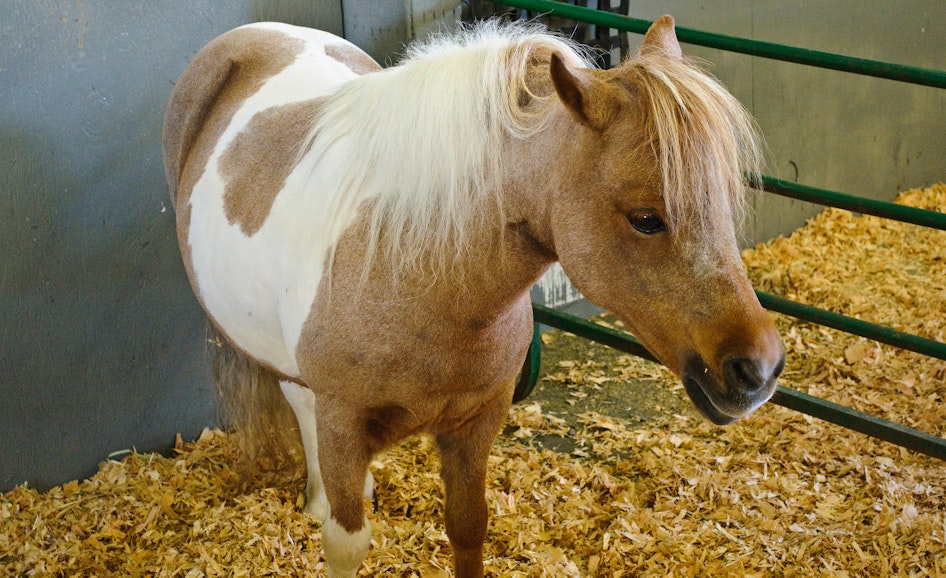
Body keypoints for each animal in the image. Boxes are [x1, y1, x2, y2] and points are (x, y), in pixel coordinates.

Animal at [163, 15, 785, 577]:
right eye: (647, 219)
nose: (759, 369)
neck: (416, 270)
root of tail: (253, 34)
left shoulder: (475, 425)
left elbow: (467, 527)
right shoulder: (343, 424)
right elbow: (346, 544)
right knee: (300, 402)